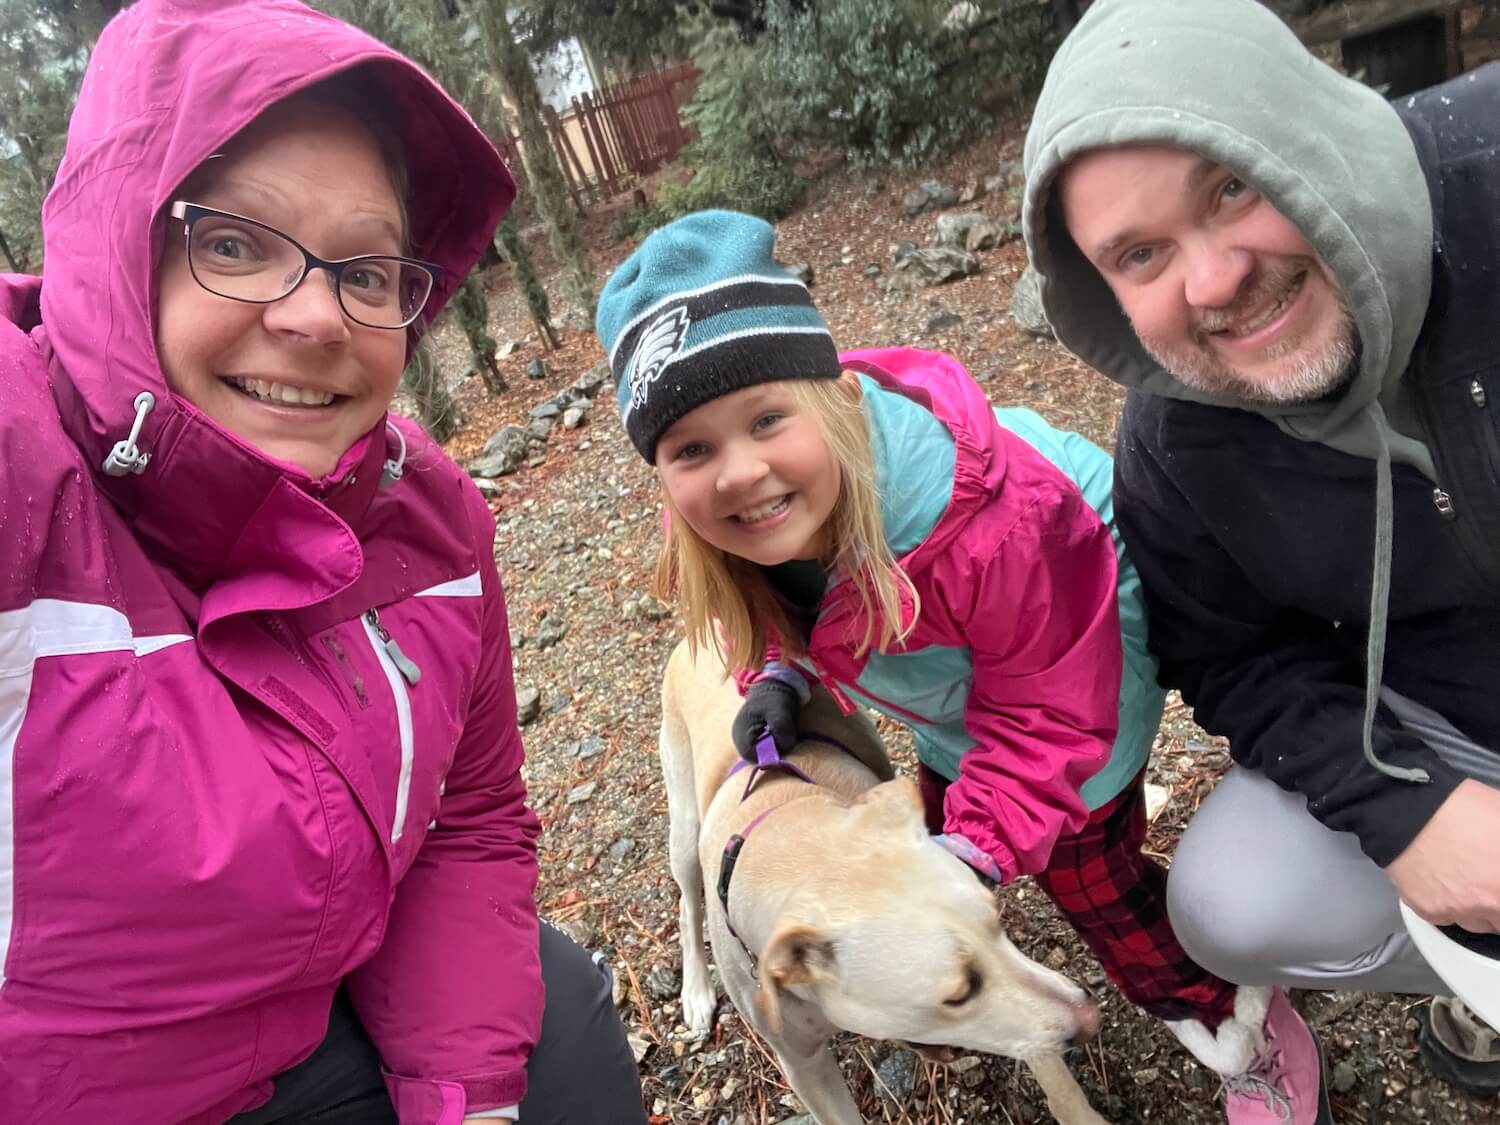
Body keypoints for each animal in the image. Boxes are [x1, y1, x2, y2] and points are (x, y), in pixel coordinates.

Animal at [658, 640, 1112, 1125]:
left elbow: (1045, 1058)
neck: (791, 828)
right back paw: (696, 992)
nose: (1090, 1017)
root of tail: (688, 641)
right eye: (959, 993)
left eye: (999, 925)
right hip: (683, 831)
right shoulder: (803, 1066)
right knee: (686, 904)